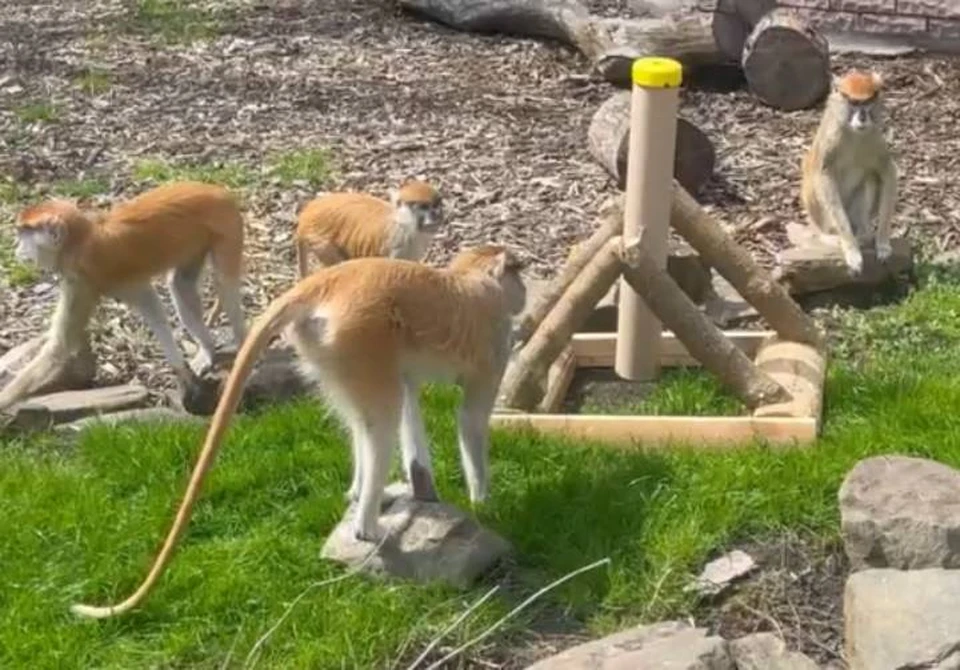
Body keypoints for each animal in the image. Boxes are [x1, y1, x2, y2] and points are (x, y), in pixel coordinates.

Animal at [0, 181, 248, 412]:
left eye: (25, 233)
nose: (16, 246)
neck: (81, 240)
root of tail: (218, 190)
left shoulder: (85, 279)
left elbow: (61, 347)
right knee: (181, 285)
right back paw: (208, 350)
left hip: (226, 227)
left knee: (224, 285)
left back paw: (243, 349)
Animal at [70, 244, 528, 624]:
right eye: (517, 273)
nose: (524, 293)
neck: (469, 281)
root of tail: (326, 283)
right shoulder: (493, 345)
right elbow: (469, 418)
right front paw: (484, 500)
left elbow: (412, 398)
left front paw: (425, 489)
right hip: (360, 335)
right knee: (382, 416)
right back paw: (366, 523)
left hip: (332, 347)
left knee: (369, 415)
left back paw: (360, 492)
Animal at [800, 68, 896, 276]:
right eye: (854, 103)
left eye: (867, 101)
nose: (862, 117)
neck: (853, 133)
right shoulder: (831, 141)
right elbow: (825, 178)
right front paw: (851, 248)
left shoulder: (874, 138)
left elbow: (888, 173)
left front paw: (882, 242)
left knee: (869, 178)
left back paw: (864, 234)